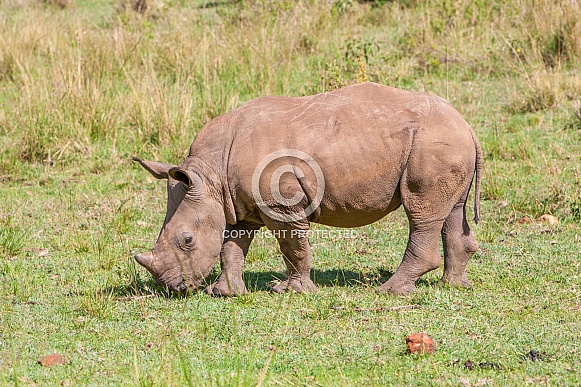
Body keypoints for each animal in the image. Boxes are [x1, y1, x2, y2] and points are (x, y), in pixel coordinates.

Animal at [133, 82, 480, 298]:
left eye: (187, 241)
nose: (173, 288)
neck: (209, 174)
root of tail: (467, 124)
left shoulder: (281, 205)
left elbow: (292, 247)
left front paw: (291, 291)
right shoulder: (236, 203)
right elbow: (232, 246)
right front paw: (224, 293)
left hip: (432, 143)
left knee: (421, 214)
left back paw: (389, 291)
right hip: (445, 144)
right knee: (451, 211)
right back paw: (453, 286)